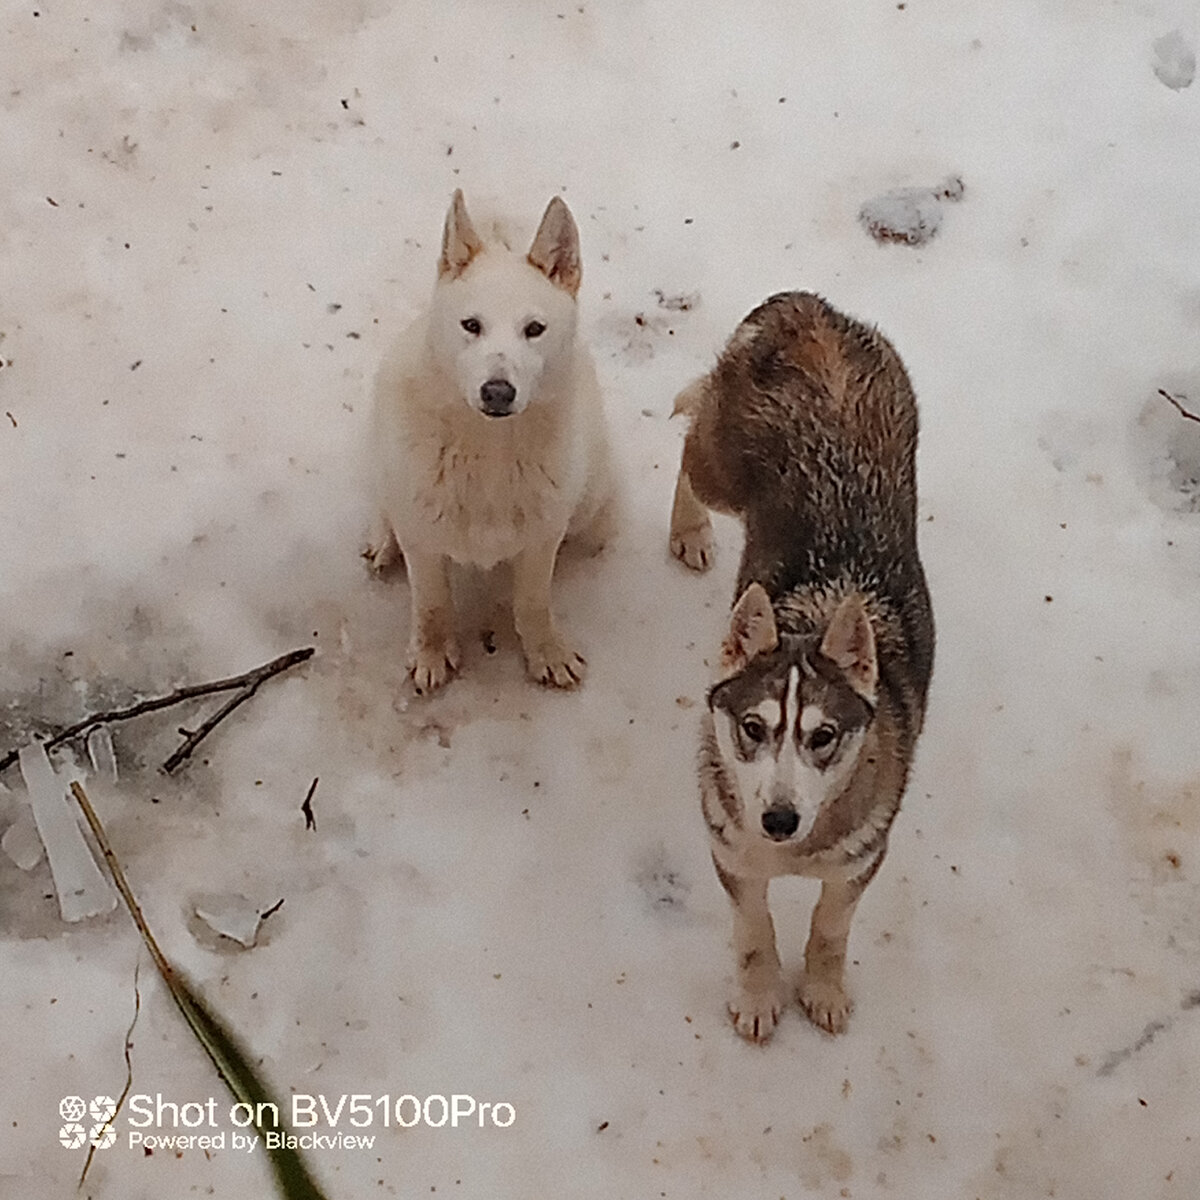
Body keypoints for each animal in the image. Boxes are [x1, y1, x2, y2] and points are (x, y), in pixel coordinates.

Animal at [364, 188, 609, 696]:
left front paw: (545, 651)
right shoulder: (422, 539)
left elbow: (533, 604)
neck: (489, 453)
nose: (497, 391)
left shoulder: (542, 540)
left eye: (534, 329)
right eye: (470, 325)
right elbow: (432, 605)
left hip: (589, 501)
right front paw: (432, 653)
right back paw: (382, 540)